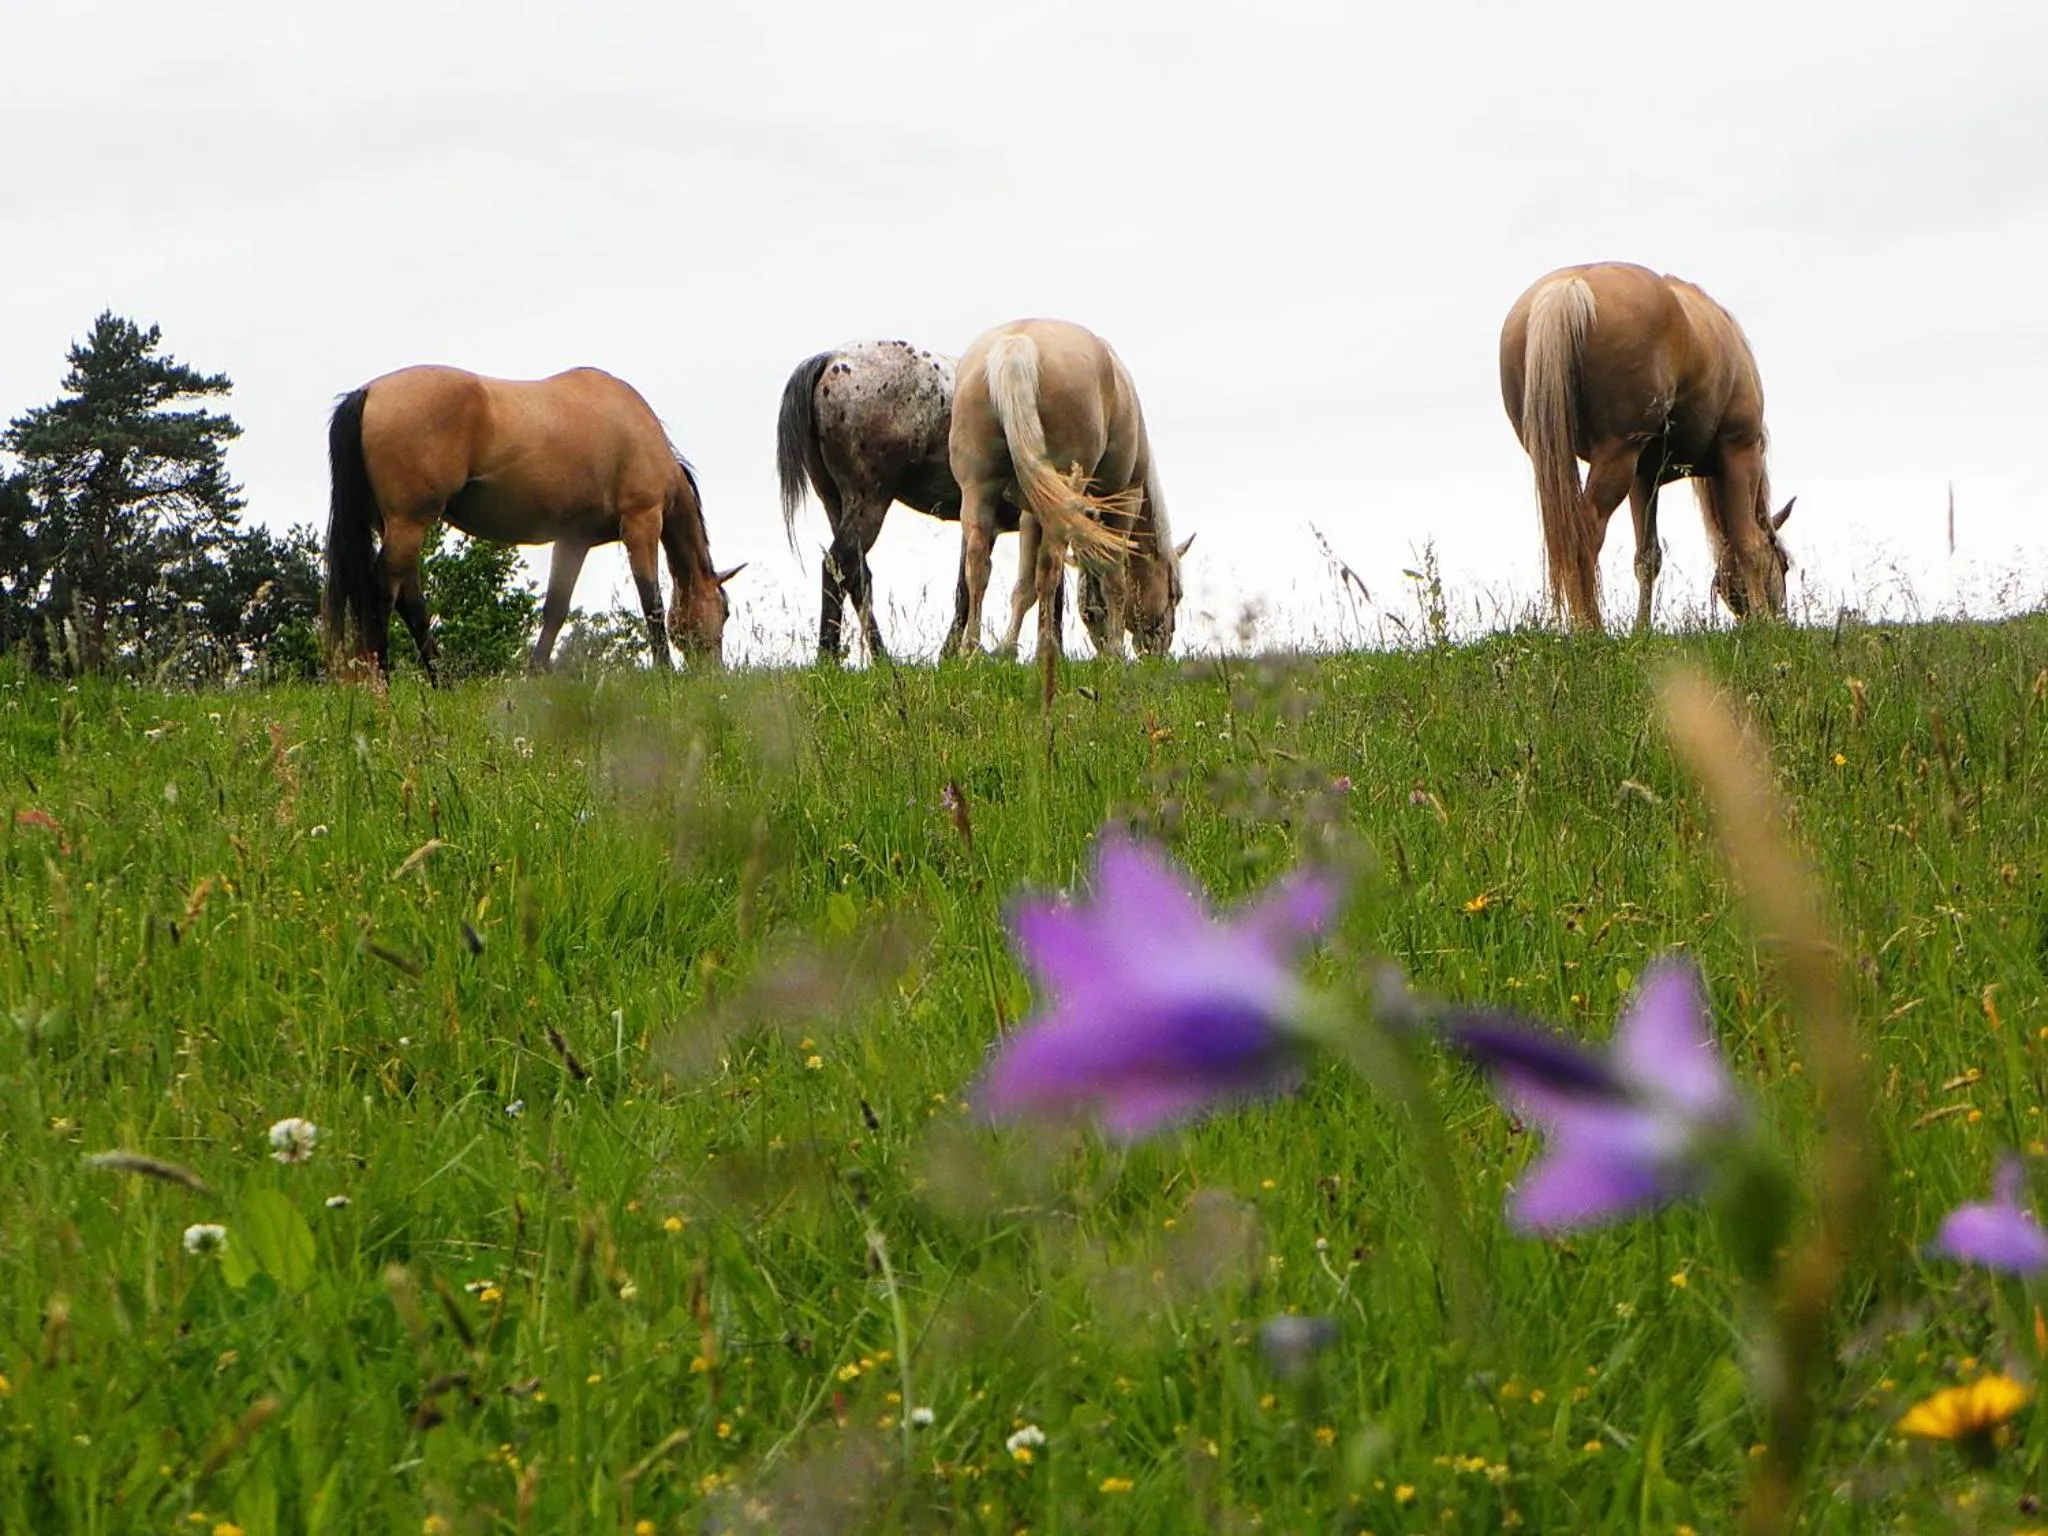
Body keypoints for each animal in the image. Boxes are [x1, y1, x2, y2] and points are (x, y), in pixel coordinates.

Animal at [324, 365, 742, 681]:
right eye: (724, 611)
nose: (712, 674)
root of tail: (367, 392)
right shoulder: (642, 522)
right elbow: (651, 602)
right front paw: (665, 673)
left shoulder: (574, 539)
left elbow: (556, 609)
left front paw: (534, 676)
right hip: (409, 523)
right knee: (383, 591)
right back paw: (383, 682)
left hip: (398, 526)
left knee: (409, 600)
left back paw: (443, 682)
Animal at [949, 318, 1183, 661]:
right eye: (1175, 593)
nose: (1159, 649)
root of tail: (1016, 344)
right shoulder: (1126, 498)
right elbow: (1113, 573)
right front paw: (1115, 652)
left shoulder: (1031, 514)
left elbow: (1024, 588)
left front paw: (1007, 649)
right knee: (1050, 566)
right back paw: (1046, 648)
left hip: (980, 489)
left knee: (978, 562)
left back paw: (971, 651)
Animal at [1499, 262, 1794, 631]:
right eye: (1785, 564)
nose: (1784, 618)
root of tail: (1568, 288)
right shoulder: (1739, 452)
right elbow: (1748, 542)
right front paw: (1764, 622)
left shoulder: (1644, 479)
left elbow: (1648, 557)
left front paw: (1642, 629)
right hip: (1617, 457)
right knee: (1585, 531)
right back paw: (1591, 629)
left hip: (1562, 458)